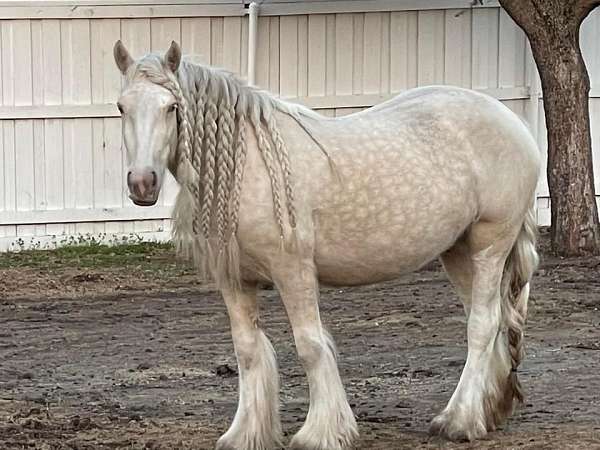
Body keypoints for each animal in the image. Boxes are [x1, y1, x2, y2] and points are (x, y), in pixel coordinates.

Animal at [112, 40, 540, 448]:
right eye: (121, 106)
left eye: (170, 107)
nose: (142, 183)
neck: (248, 165)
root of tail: (514, 123)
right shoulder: (235, 281)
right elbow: (248, 350)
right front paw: (245, 434)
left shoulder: (293, 271)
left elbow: (310, 346)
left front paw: (320, 433)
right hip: (458, 253)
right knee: (489, 321)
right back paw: (486, 412)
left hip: (490, 245)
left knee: (482, 325)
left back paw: (458, 422)